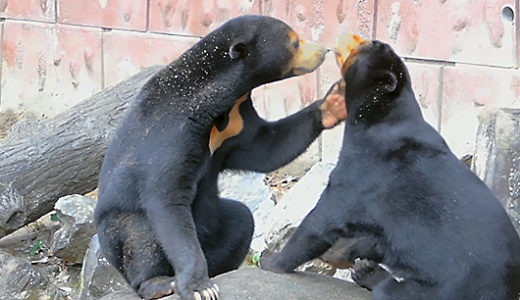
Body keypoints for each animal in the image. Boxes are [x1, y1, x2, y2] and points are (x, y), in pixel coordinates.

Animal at [95, 14, 348, 300]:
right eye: (294, 42)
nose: (324, 50)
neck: (218, 100)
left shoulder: (236, 122)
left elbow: (266, 147)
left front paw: (335, 101)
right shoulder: (172, 133)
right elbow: (167, 197)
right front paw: (199, 287)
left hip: (214, 227)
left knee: (241, 218)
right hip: (118, 234)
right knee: (139, 233)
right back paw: (159, 282)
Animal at [262, 32, 520, 300]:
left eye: (373, 45)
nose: (353, 34)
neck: (378, 119)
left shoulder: (364, 171)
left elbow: (321, 220)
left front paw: (272, 261)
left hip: (448, 284)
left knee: (397, 290)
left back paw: (369, 274)